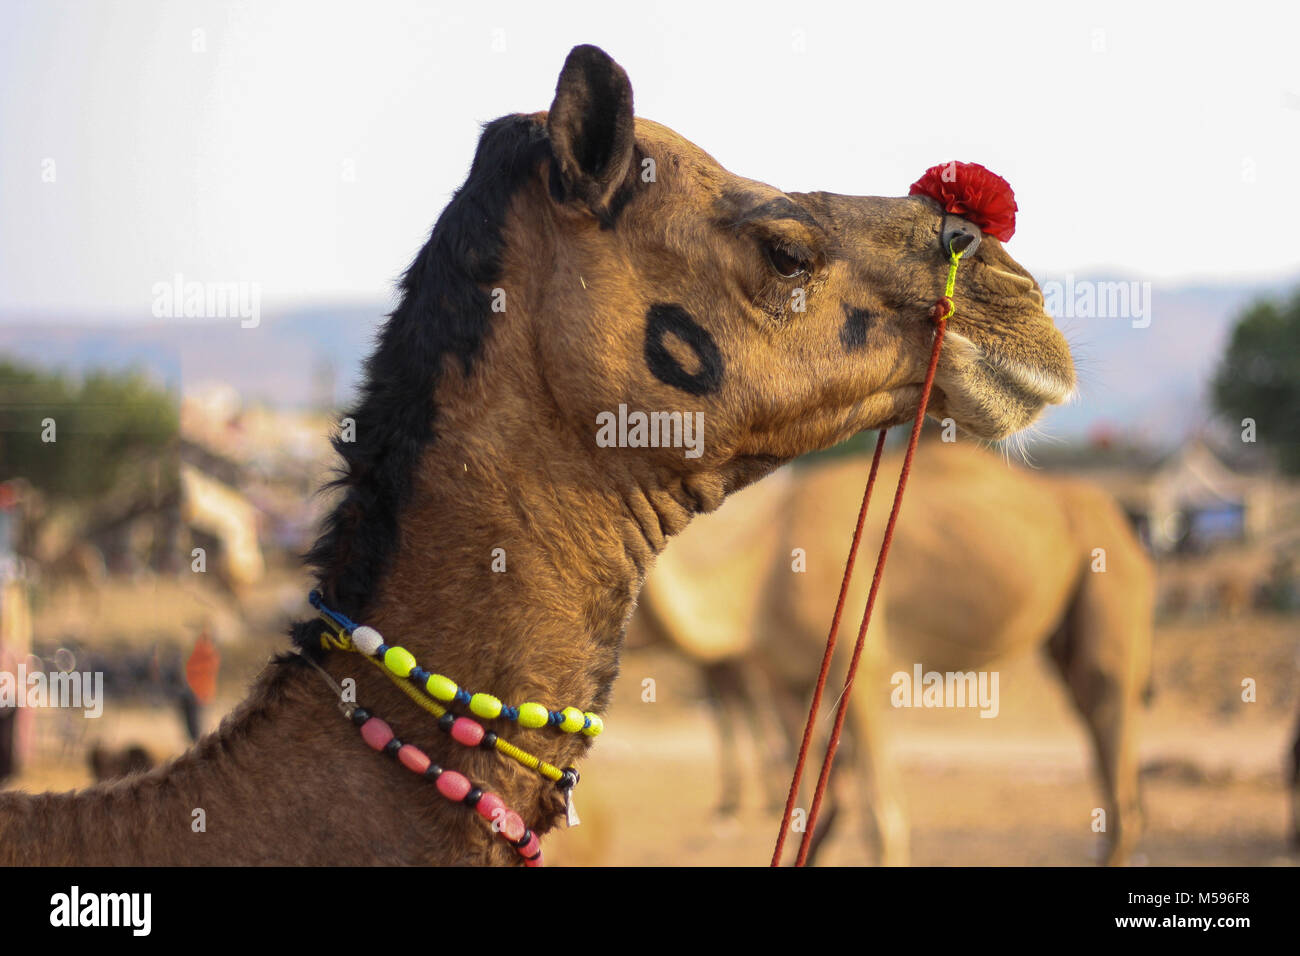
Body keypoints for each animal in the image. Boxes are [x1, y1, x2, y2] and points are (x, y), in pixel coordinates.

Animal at [634, 439, 1154, 868]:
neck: (759, 581)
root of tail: (1124, 520)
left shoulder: (857, 669)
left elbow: (881, 819)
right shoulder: (785, 681)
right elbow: (811, 810)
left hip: (1110, 578)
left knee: (1111, 719)